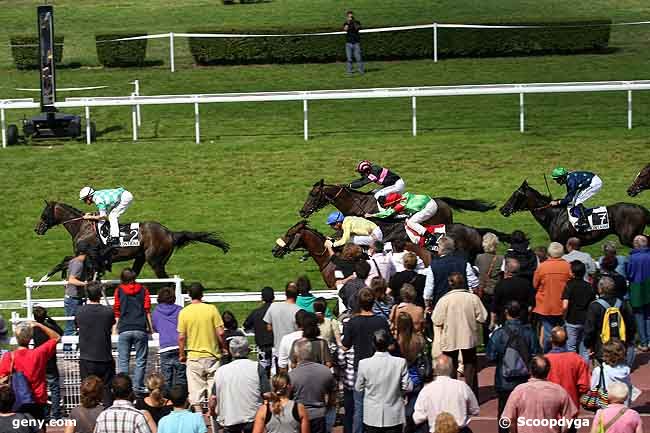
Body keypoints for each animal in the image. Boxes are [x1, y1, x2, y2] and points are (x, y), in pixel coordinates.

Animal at [35, 200, 229, 276]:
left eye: (44, 214)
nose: (37, 229)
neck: (82, 227)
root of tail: (169, 233)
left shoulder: (87, 255)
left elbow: (62, 263)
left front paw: (41, 280)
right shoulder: (87, 258)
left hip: (155, 261)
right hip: (141, 258)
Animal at [498, 179, 644, 246]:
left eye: (516, 195)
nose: (502, 209)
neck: (553, 215)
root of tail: (641, 208)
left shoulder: (562, 243)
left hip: (628, 238)